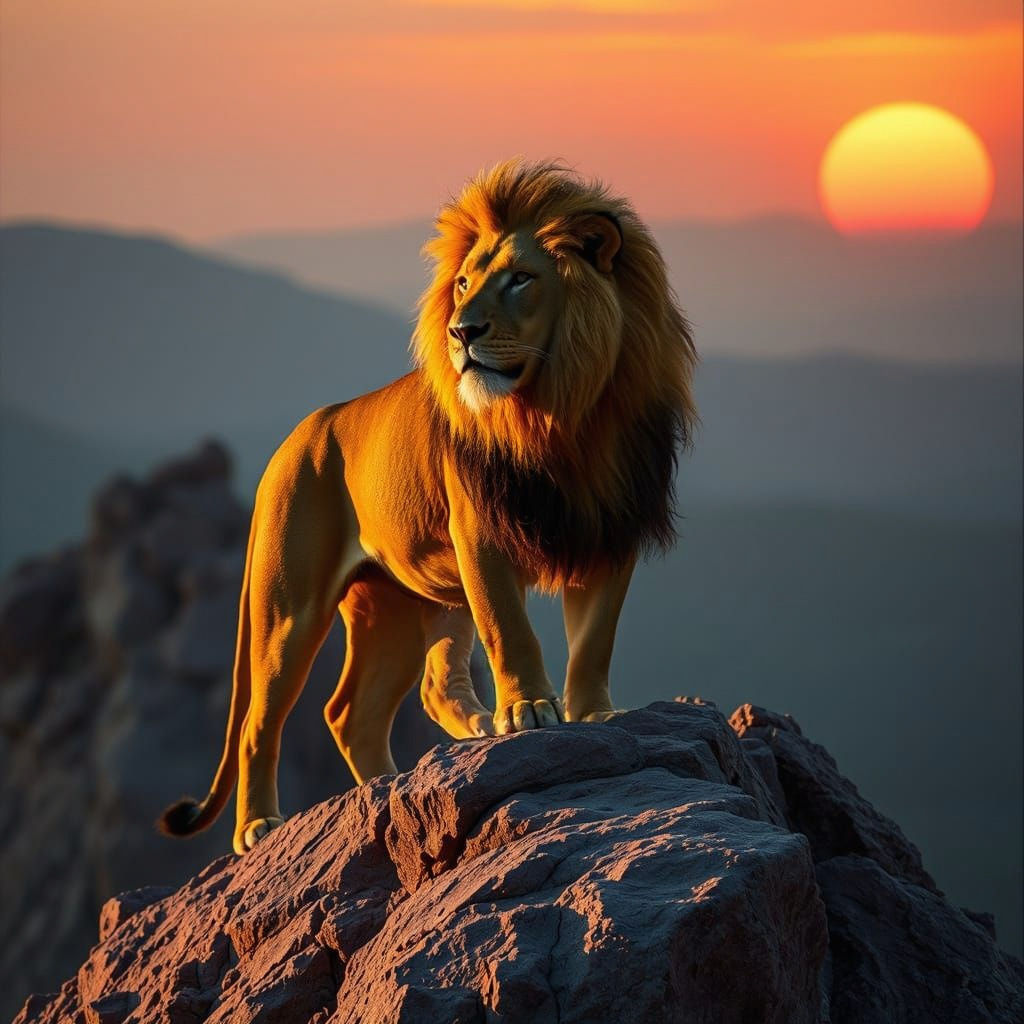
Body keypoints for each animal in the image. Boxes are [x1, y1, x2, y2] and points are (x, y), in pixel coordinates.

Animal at [159, 159, 697, 854]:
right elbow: (511, 628)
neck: (564, 416)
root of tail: (294, 440)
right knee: (260, 721)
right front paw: (529, 710)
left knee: (369, 707)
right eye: (464, 283)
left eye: (521, 278)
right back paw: (259, 827)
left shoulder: (609, 530)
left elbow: (594, 640)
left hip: (397, 604)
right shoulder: (481, 536)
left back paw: (398, 785)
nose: (460, 331)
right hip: (289, 608)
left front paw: (594, 713)